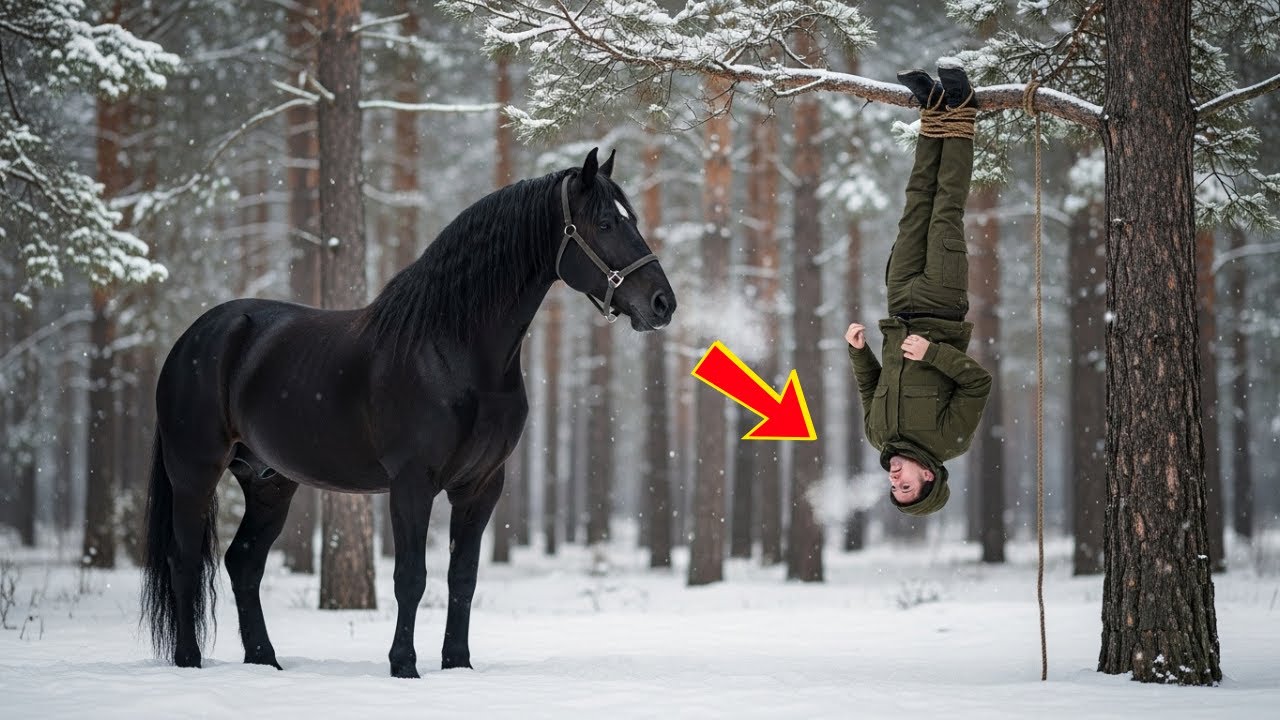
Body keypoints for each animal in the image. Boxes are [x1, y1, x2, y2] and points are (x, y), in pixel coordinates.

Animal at [142, 148, 676, 678]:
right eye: (605, 223)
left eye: (630, 219)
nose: (662, 303)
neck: (453, 350)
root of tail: (194, 337)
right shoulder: (412, 482)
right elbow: (411, 577)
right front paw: (404, 666)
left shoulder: (481, 486)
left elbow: (463, 577)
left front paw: (457, 663)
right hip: (194, 471)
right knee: (184, 560)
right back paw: (189, 661)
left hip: (269, 482)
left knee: (244, 563)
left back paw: (264, 661)